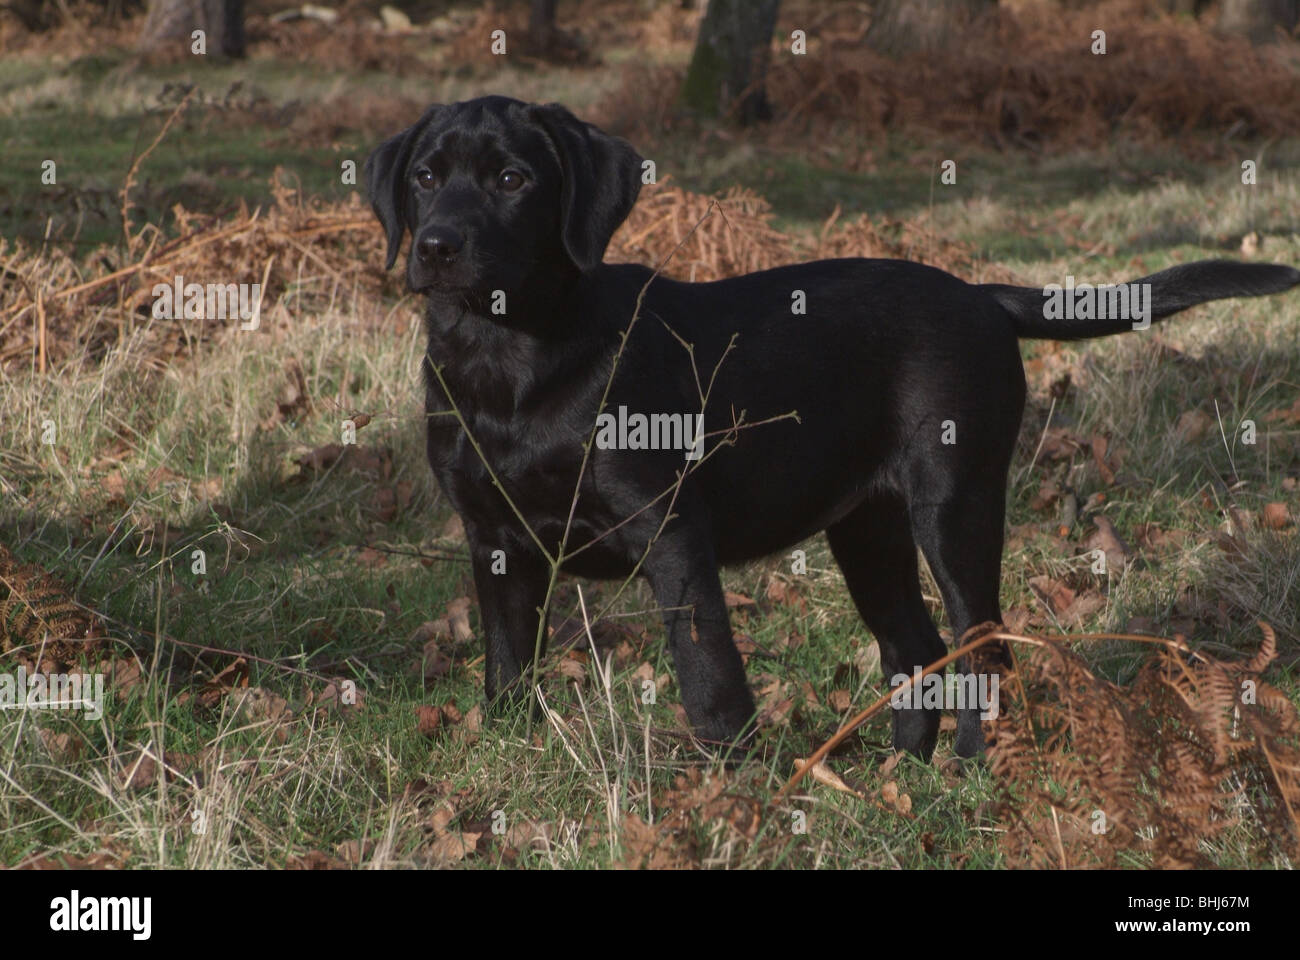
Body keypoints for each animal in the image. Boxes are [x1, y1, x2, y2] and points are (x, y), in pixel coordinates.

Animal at [366, 95, 1300, 754]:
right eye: (425, 178)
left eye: (513, 180)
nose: (437, 246)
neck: (509, 360)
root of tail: (982, 295)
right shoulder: (495, 540)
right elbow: (506, 667)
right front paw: (511, 753)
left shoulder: (672, 532)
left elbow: (709, 673)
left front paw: (728, 787)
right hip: (866, 528)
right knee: (915, 647)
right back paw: (906, 775)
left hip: (954, 504)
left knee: (980, 646)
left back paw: (976, 774)